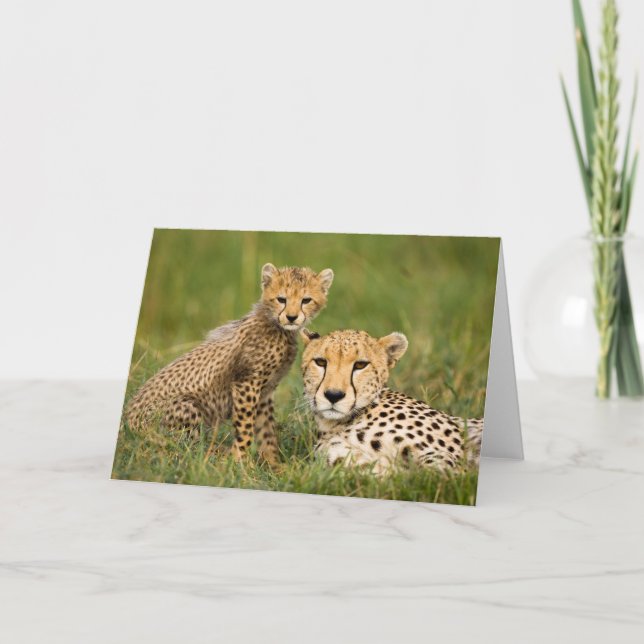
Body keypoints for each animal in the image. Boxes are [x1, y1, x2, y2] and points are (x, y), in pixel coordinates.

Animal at [125, 263, 334, 464]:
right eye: (281, 299)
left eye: (306, 300)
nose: (291, 317)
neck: (277, 327)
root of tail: (127, 422)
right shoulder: (246, 384)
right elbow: (245, 427)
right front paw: (240, 462)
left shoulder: (265, 392)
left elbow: (266, 432)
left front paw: (274, 465)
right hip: (186, 406)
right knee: (181, 447)